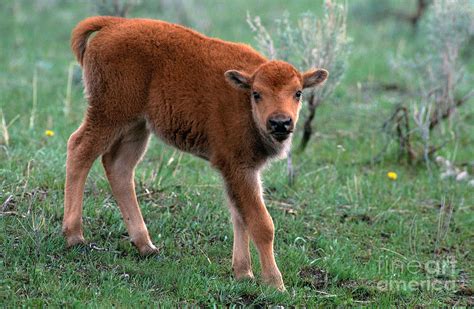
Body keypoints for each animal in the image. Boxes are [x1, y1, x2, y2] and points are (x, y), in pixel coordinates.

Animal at [63, 15, 328, 290]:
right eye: (257, 94)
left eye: (298, 93)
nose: (280, 123)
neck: (243, 98)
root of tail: (113, 23)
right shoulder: (238, 167)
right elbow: (261, 224)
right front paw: (276, 284)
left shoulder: (241, 172)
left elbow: (240, 216)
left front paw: (243, 273)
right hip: (110, 114)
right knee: (79, 149)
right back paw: (75, 236)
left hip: (137, 125)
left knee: (119, 167)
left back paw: (146, 246)